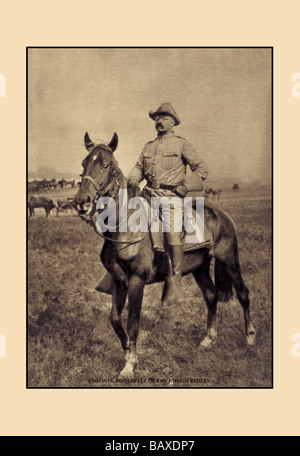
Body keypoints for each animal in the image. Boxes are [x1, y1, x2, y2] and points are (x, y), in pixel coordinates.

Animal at [74, 134, 255, 380]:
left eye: (106, 165)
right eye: (84, 163)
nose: (81, 201)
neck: (126, 226)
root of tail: (223, 215)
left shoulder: (137, 281)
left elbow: (133, 323)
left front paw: (130, 365)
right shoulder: (119, 282)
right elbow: (115, 319)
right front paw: (126, 353)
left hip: (230, 260)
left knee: (243, 294)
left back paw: (249, 338)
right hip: (200, 267)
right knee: (211, 295)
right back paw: (208, 339)